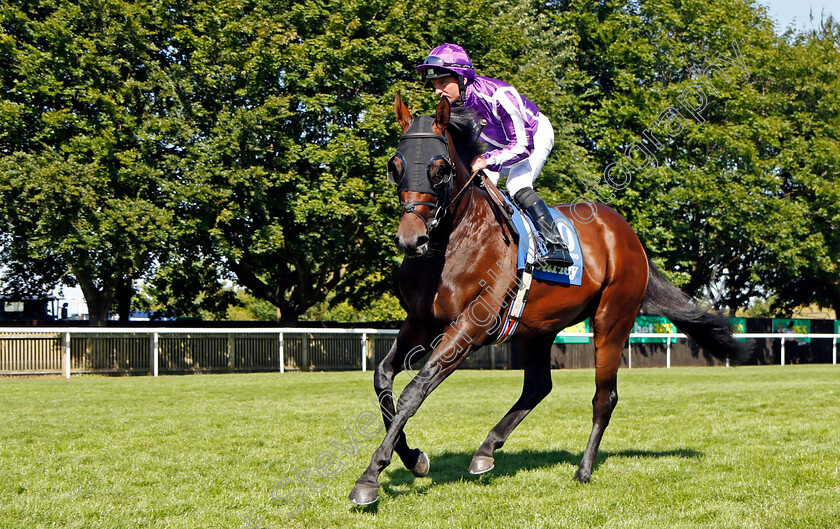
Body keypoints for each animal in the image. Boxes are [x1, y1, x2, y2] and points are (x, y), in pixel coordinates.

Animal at [348, 94, 748, 504]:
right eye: (394, 167)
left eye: (440, 169)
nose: (411, 239)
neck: (454, 242)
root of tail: (629, 236)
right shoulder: (421, 321)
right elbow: (382, 378)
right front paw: (412, 458)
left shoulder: (470, 326)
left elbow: (415, 390)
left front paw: (370, 477)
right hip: (538, 329)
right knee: (539, 386)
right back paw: (486, 450)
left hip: (612, 321)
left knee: (604, 397)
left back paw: (583, 470)